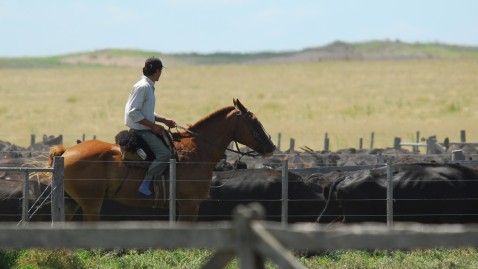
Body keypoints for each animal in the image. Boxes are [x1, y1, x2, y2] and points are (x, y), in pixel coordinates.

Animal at [48, 98, 274, 220]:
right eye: (254, 121)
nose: (270, 147)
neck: (197, 151)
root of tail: (67, 150)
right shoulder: (190, 206)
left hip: (72, 204)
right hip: (91, 204)